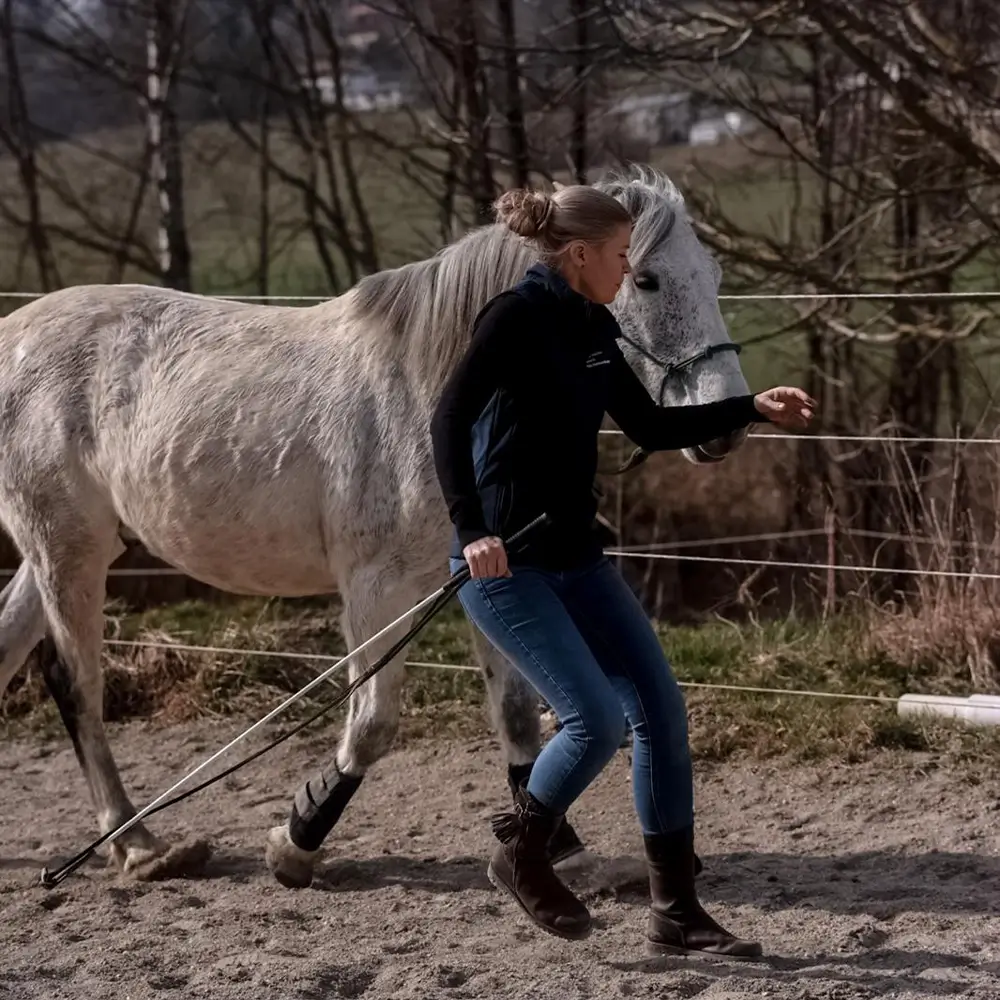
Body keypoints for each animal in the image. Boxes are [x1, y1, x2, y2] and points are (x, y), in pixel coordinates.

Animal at [0, 165, 751, 884]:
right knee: (75, 683)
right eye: (646, 278)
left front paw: (560, 852)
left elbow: (516, 716)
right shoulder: (377, 590)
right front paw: (296, 844)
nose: (727, 426)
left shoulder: (484, 578)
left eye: (713, 277)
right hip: (68, 550)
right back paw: (138, 845)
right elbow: (372, 725)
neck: (431, 393)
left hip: (63, 552)